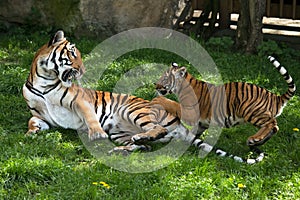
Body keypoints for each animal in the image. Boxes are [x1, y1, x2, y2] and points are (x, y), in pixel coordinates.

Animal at [156, 57, 296, 162]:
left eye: (164, 78)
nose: (155, 86)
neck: (181, 87)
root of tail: (274, 96)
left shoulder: (190, 112)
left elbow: (174, 104)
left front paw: (160, 101)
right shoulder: (202, 122)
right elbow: (194, 134)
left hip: (250, 111)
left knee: (273, 124)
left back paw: (254, 139)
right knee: (273, 128)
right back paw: (256, 142)